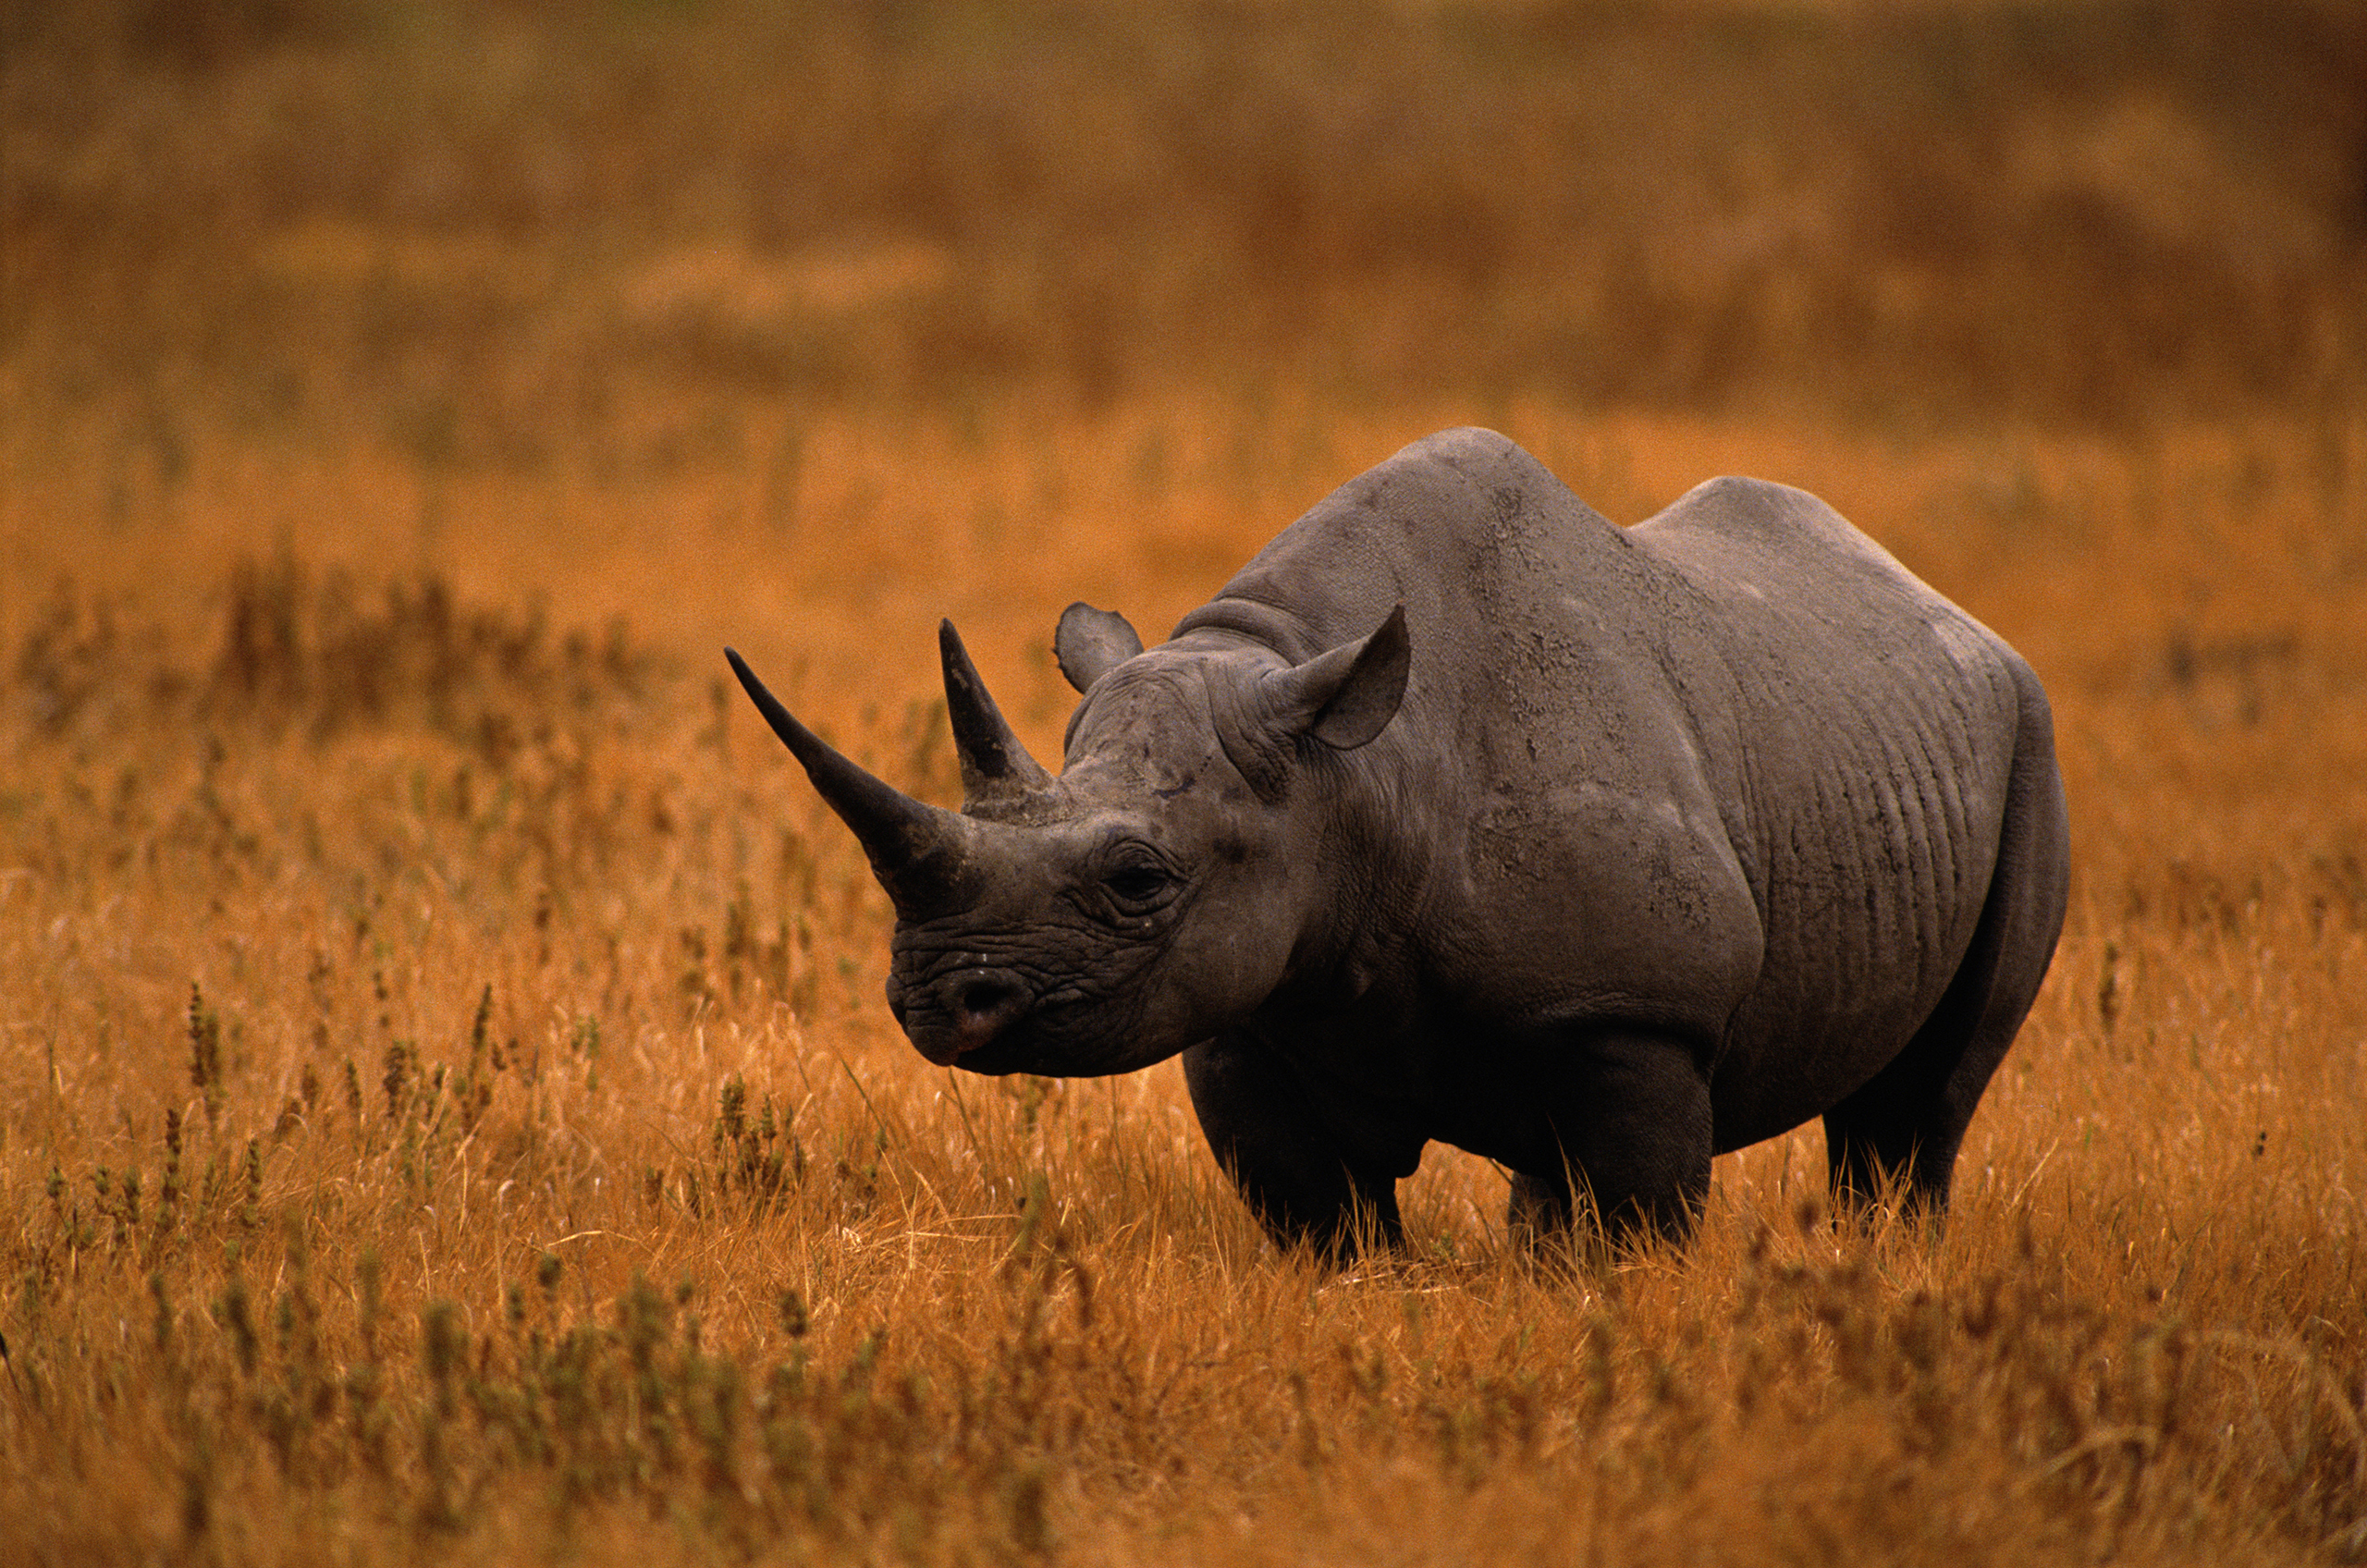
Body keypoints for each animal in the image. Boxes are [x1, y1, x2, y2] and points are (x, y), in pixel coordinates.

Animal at [727, 428, 2069, 1255]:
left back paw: (1887, 1259)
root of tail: (1939, 604)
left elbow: (1638, 1219)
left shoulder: (1643, 1008)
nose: (934, 1002)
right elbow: (1324, 1221)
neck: (1355, 776)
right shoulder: (1251, 1002)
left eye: (1137, 877)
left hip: (2024, 732)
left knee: (1918, 1108)